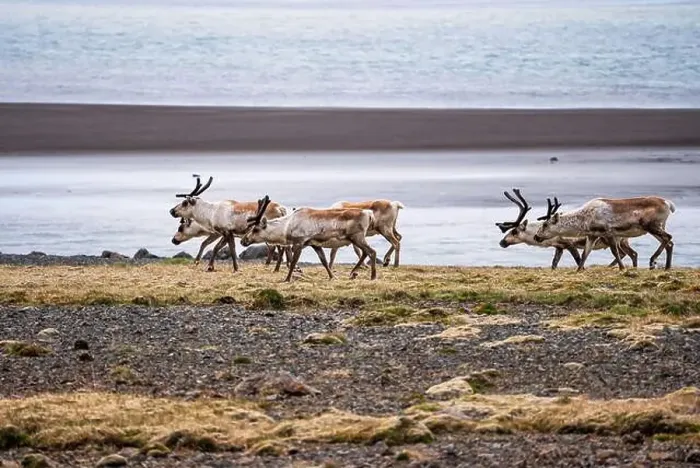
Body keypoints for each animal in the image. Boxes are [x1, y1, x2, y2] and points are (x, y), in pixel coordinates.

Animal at [240, 195, 377, 282]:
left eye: (255, 229)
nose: (243, 241)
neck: (287, 226)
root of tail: (368, 214)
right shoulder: (314, 244)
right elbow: (324, 261)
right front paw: (332, 277)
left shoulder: (299, 242)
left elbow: (293, 262)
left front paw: (287, 279)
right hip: (357, 238)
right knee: (366, 252)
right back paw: (354, 272)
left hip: (357, 237)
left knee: (371, 251)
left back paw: (373, 276)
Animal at [496, 189, 638, 269]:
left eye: (514, 231)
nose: (502, 242)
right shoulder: (559, 247)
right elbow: (554, 264)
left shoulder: (570, 244)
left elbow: (578, 260)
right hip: (622, 241)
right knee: (631, 253)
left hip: (614, 239)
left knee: (625, 253)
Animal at [534, 195, 676, 271]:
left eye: (545, 224)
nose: (536, 236)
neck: (585, 218)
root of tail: (668, 203)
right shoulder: (592, 235)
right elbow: (585, 253)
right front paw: (578, 270)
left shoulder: (608, 232)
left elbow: (615, 252)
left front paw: (622, 268)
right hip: (656, 227)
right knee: (669, 242)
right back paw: (667, 267)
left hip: (652, 226)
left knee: (668, 237)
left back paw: (652, 261)